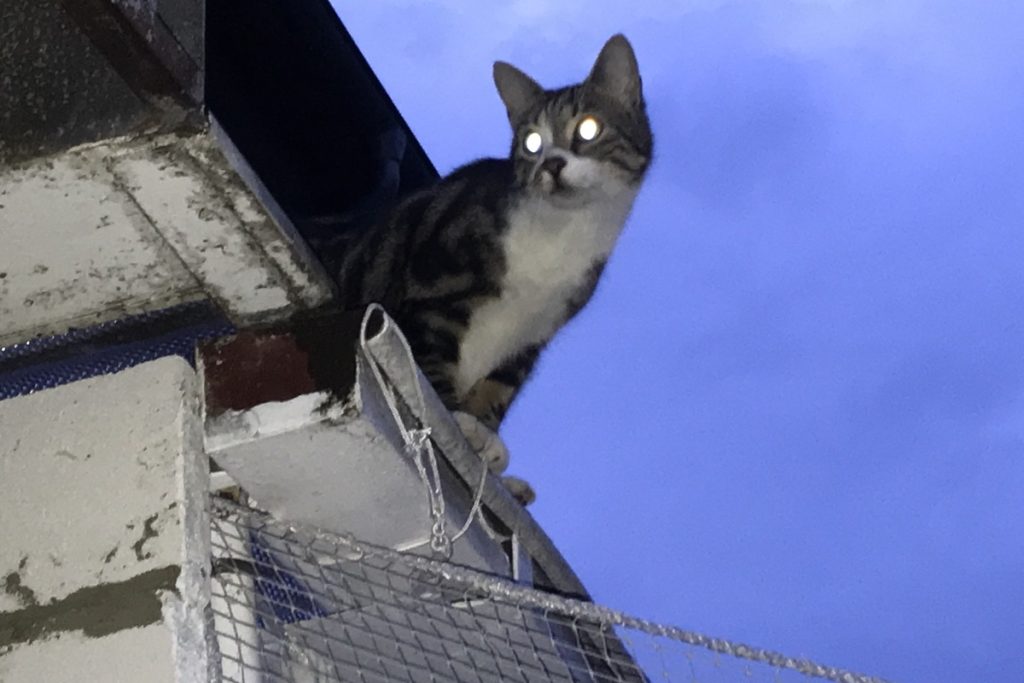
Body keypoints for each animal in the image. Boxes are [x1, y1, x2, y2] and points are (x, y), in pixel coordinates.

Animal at [337, 33, 655, 501]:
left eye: (588, 129)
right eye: (532, 143)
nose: (551, 164)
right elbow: (430, 362)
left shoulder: (535, 335)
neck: (559, 237)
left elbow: (498, 389)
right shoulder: (436, 288)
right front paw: (457, 422)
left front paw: (484, 433)